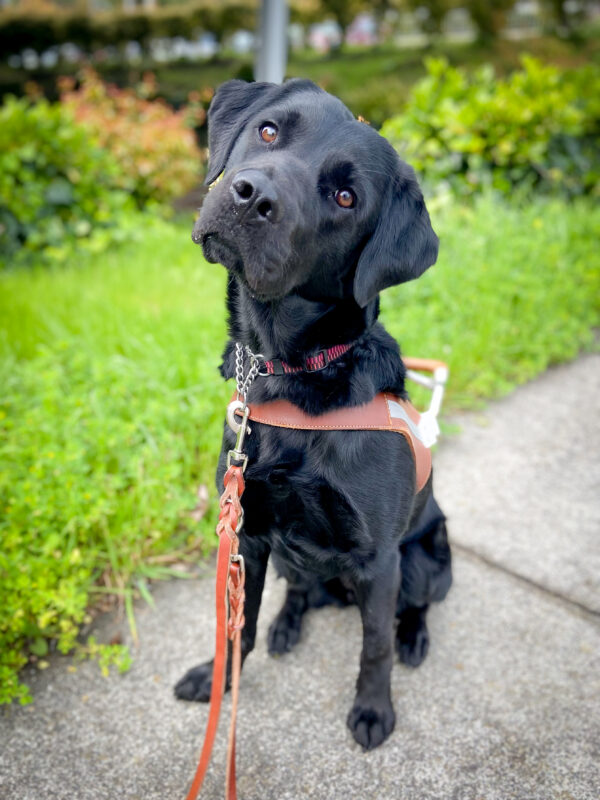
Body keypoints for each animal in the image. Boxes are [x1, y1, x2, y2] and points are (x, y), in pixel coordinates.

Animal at [176, 78, 452, 748]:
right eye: (269, 130)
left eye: (346, 197)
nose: (252, 196)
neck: (288, 374)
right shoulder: (248, 534)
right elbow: (237, 626)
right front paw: (219, 679)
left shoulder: (380, 559)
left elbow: (374, 647)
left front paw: (374, 710)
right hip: (289, 559)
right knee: (298, 590)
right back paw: (289, 622)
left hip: (425, 560)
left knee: (414, 606)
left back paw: (416, 637)